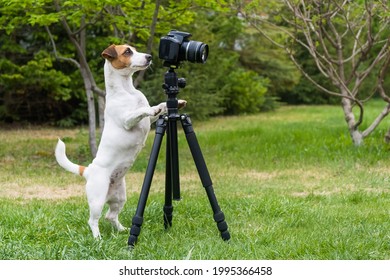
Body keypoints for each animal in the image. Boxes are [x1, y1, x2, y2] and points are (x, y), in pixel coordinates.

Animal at [55, 44, 187, 238]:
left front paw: (176, 103)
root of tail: (88, 170)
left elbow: (161, 107)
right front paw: (152, 108)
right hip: (97, 200)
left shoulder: (151, 121)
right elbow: (141, 111)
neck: (127, 91)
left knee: (110, 216)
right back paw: (98, 238)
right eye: (127, 52)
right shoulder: (127, 120)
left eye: (135, 49)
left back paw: (123, 230)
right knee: (93, 220)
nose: (149, 57)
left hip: (119, 198)